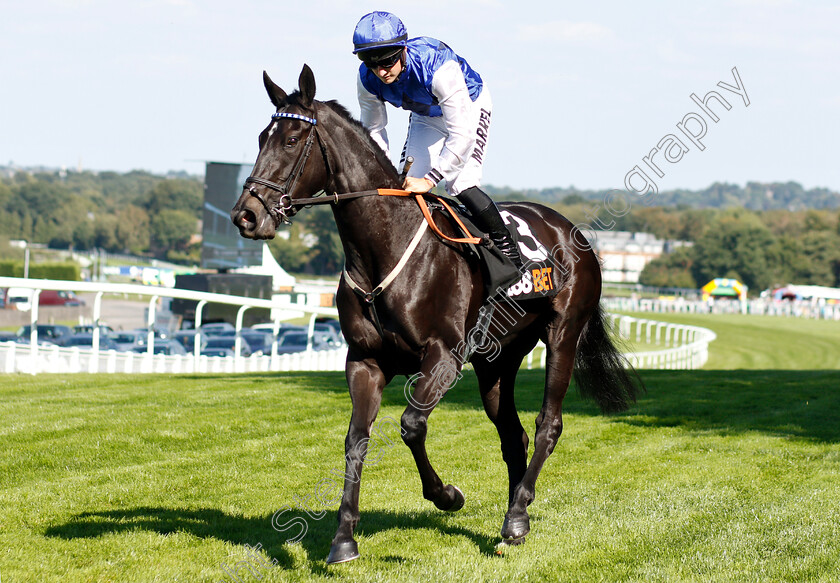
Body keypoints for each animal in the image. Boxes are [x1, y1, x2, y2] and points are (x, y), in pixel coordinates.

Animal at [230, 65, 644, 564]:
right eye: (261, 138)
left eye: (292, 140)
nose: (246, 215)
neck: (383, 248)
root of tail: (570, 230)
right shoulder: (365, 360)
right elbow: (356, 440)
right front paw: (343, 538)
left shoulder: (444, 356)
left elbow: (411, 426)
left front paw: (447, 495)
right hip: (497, 361)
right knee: (514, 435)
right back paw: (516, 515)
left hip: (563, 334)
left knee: (548, 424)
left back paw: (516, 517)